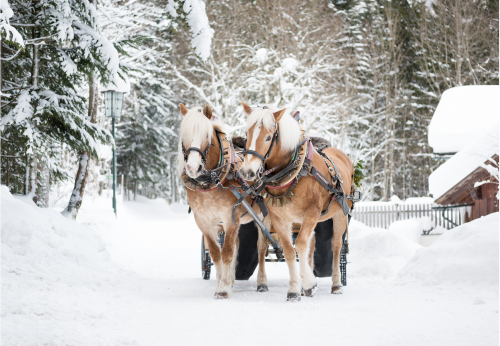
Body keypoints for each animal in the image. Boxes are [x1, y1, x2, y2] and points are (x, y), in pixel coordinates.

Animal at [177, 102, 270, 298]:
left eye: (206, 135)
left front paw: (223, 289)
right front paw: (222, 282)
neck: (211, 182)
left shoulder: (229, 219)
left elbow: (226, 252)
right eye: (184, 136)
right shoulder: (204, 222)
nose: (193, 168)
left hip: (264, 218)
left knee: (261, 248)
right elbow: (215, 253)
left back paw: (262, 282)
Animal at [239, 102, 354, 300]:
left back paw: (336, 284)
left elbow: (300, 244)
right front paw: (294, 289)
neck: (295, 171)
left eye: (268, 137)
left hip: (340, 213)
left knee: (336, 245)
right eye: (247, 134)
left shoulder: (312, 213)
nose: (247, 172)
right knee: (310, 246)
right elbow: (289, 250)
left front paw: (309, 283)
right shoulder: (280, 218)